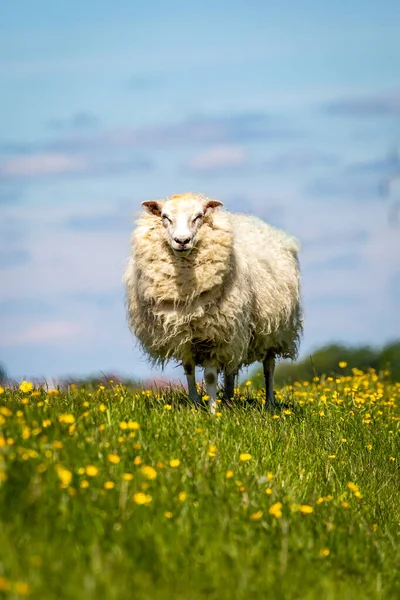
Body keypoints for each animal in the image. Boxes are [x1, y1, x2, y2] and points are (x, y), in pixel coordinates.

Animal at [123, 192, 302, 412]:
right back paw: (229, 400)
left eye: (198, 216)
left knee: (268, 367)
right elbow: (189, 370)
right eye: (165, 217)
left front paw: (213, 411)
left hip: (272, 331)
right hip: (237, 333)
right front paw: (195, 404)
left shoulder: (214, 336)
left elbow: (209, 377)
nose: (182, 241)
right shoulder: (184, 335)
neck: (186, 287)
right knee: (231, 369)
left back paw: (268, 403)